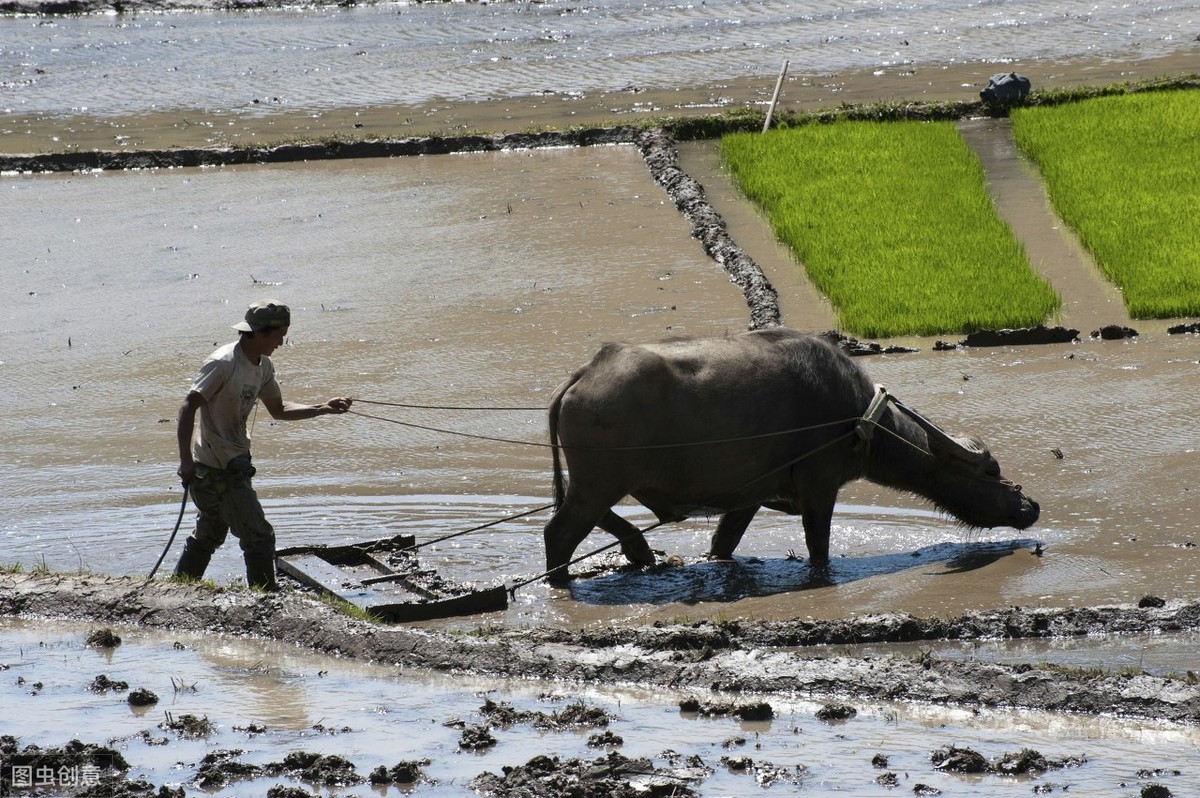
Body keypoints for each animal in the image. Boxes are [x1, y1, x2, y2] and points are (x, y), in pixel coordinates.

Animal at [544, 326, 1041, 583]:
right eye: (991, 468)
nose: (1030, 506)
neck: (857, 420)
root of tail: (584, 374)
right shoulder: (820, 488)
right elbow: (818, 545)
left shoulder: (746, 497)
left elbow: (723, 545)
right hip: (600, 482)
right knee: (559, 531)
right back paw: (563, 579)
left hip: (597, 483)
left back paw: (640, 551)